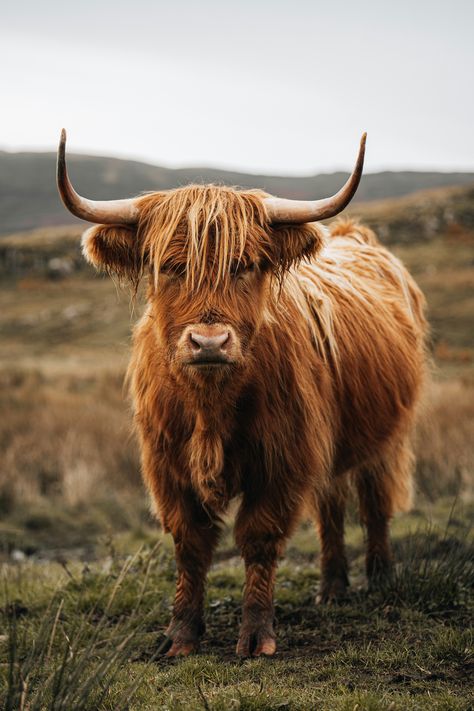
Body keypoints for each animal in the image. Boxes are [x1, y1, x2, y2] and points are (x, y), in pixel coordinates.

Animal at [57, 131, 428, 660]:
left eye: (246, 265)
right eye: (170, 267)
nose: (209, 342)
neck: (211, 406)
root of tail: (354, 236)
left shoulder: (283, 459)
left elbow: (258, 537)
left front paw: (256, 635)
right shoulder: (168, 464)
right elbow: (191, 543)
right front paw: (180, 635)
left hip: (386, 434)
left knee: (374, 502)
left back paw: (379, 580)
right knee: (331, 508)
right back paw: (332, 588)